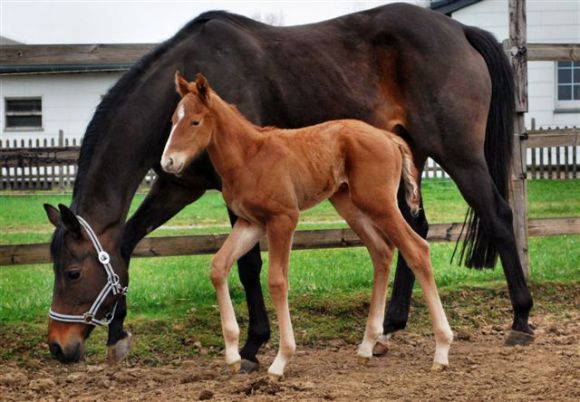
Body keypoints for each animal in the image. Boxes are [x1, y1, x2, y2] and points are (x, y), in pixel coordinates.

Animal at [161, 73, 456, 380]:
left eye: (195, 121)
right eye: (173, 120)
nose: (168, 162)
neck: (248, 156)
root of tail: (388, 136)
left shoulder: (283, 218)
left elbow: (277, 281)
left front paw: (280, 361)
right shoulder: (251, 223)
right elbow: (219, 267)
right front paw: (232, 355)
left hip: (379, 203)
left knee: (416, 249)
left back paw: (441, 350)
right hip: (350, 204)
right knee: (382, 251)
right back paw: (367, 345)